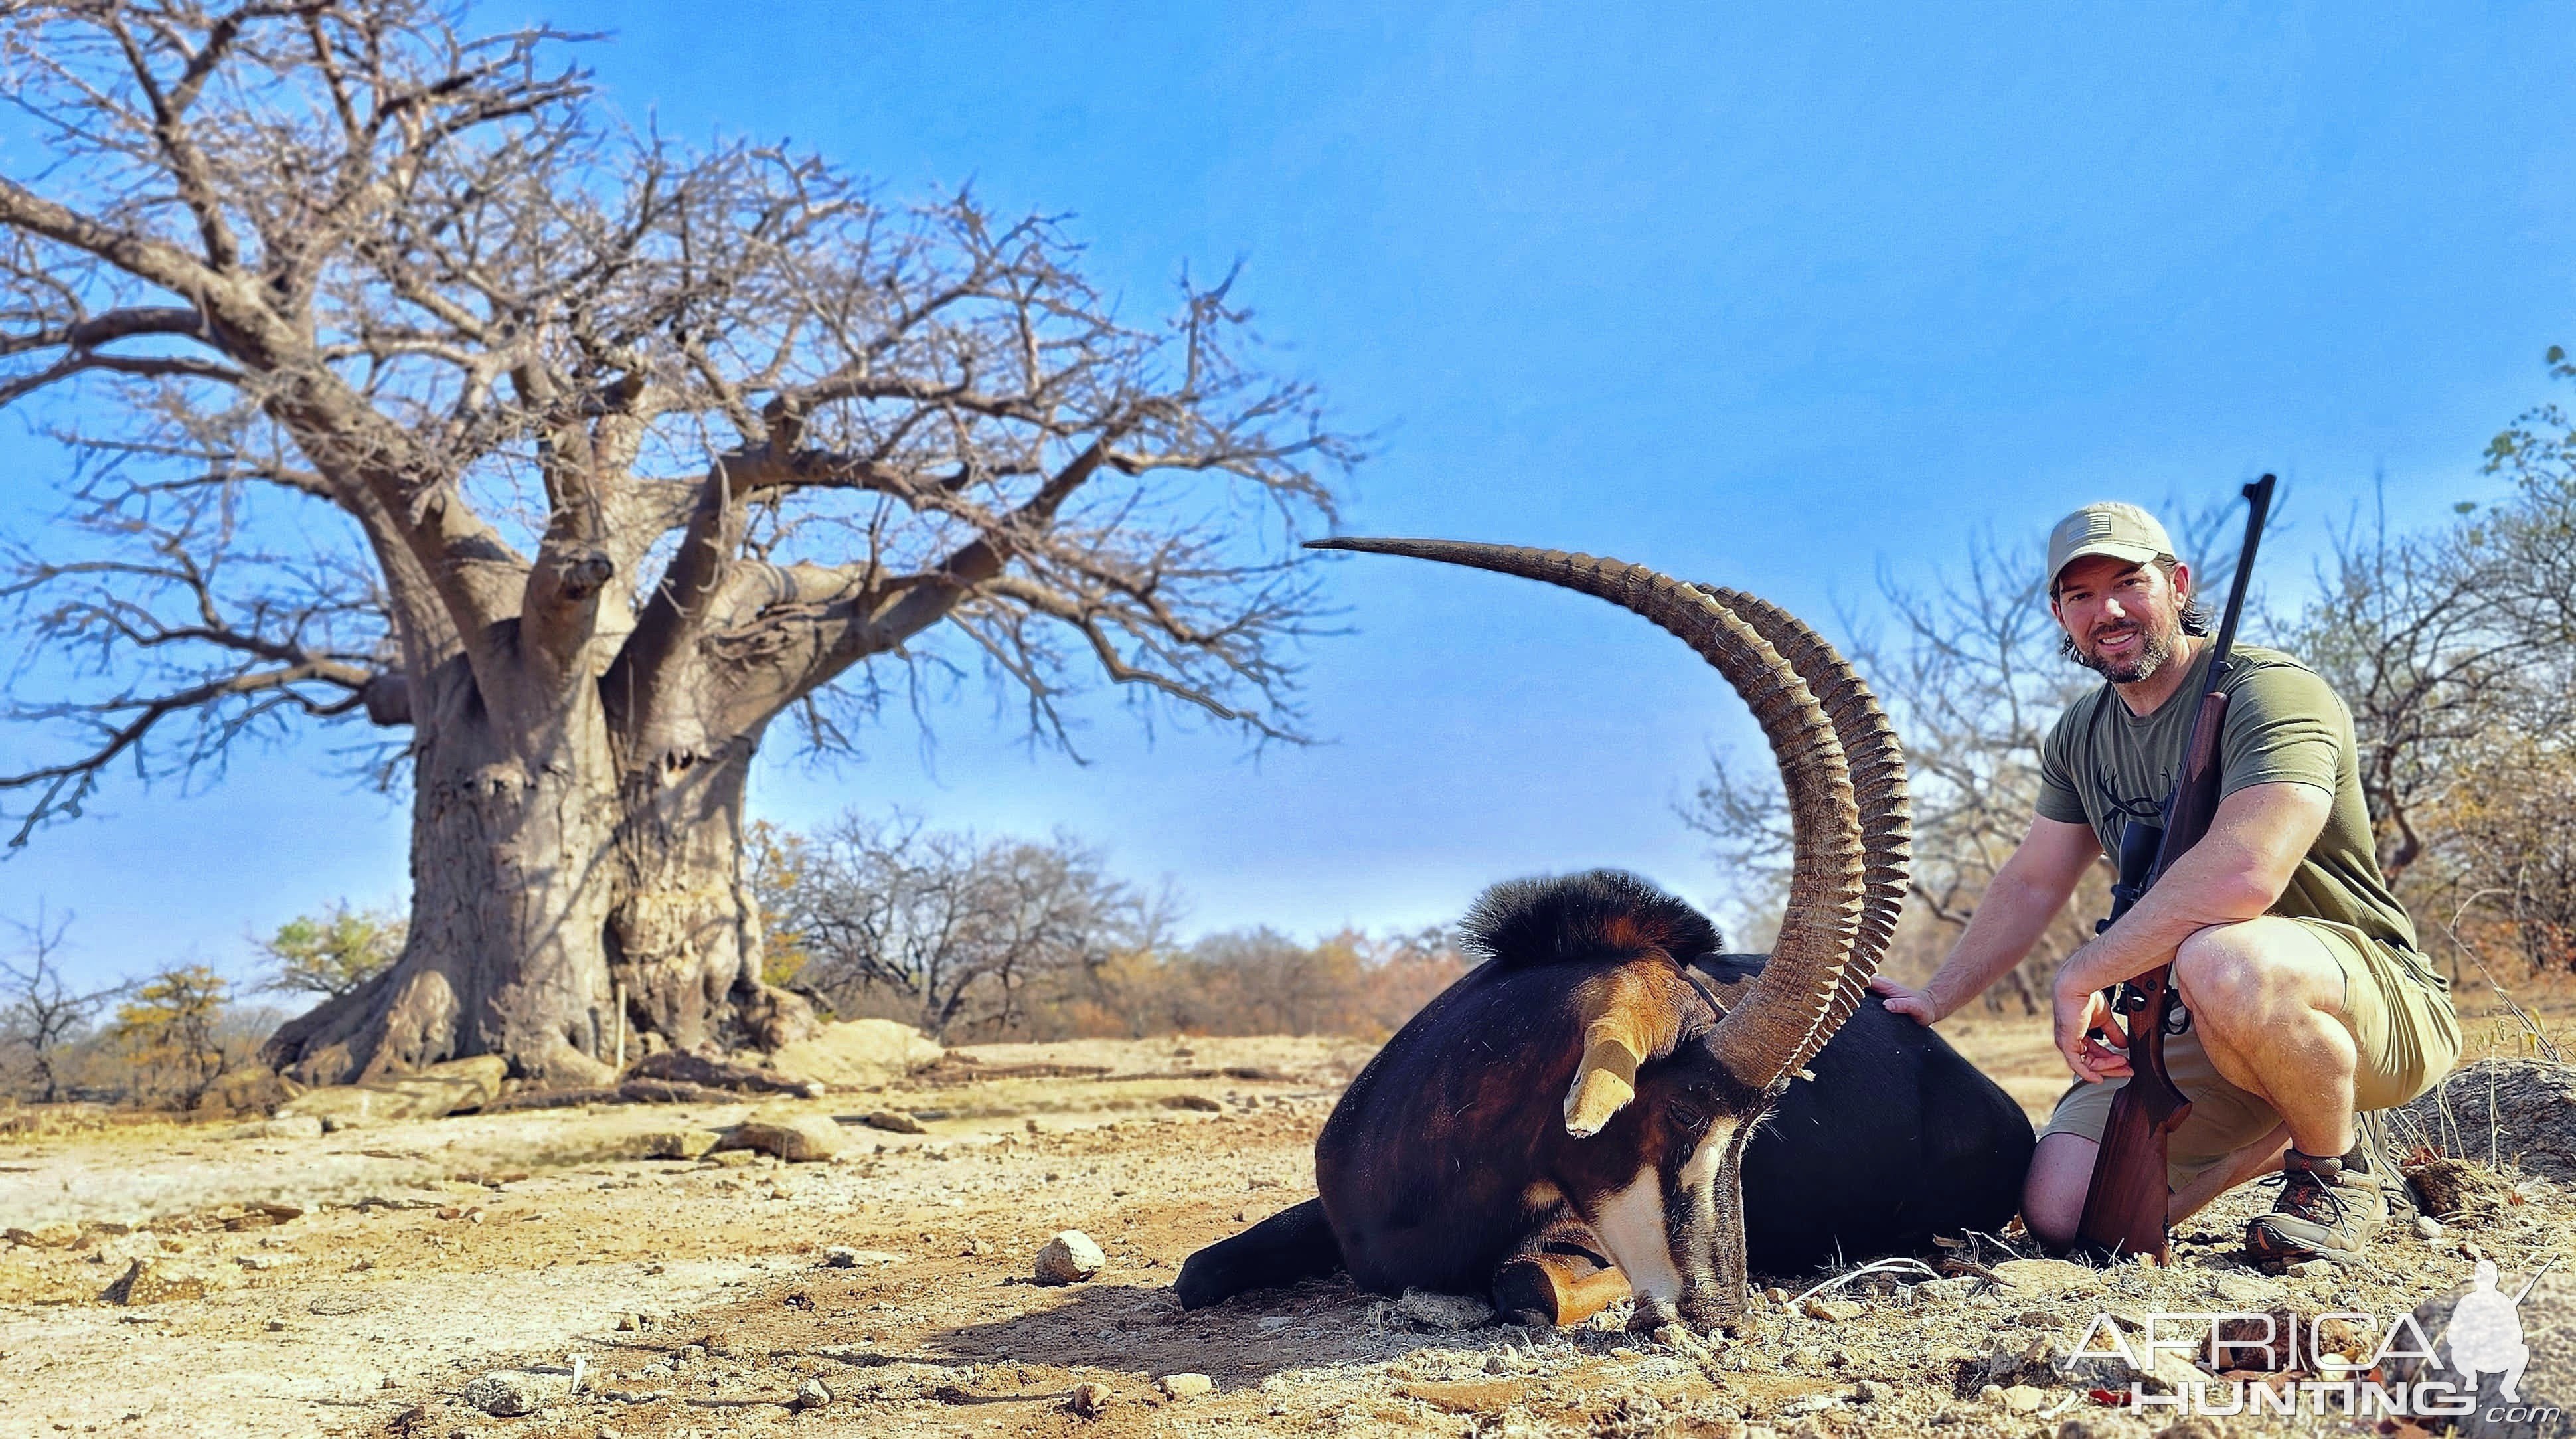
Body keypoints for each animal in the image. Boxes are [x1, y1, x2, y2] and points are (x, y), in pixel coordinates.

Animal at [1169, 543, 2030, 1338]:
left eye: (1754, 1130)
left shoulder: (1576, 1244)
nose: (1721, 1311)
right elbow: (1196, 1270)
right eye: (1682, 1110)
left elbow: (1530, 1285)